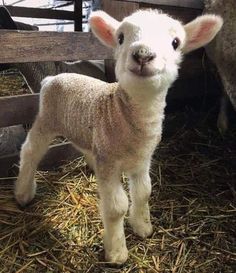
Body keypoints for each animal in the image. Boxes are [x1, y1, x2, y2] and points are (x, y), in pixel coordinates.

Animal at [14, 9, 223, 262]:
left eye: (175, 43)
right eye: (120, 37)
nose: (142, 54)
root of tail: (51, 79)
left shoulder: (142, 160)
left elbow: (144, 193)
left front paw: (143, 227)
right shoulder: (110, 163)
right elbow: (116, 208)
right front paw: (117, 252)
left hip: (88, 131)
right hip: (46, 120)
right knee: (30, 151)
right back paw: (23, 193)